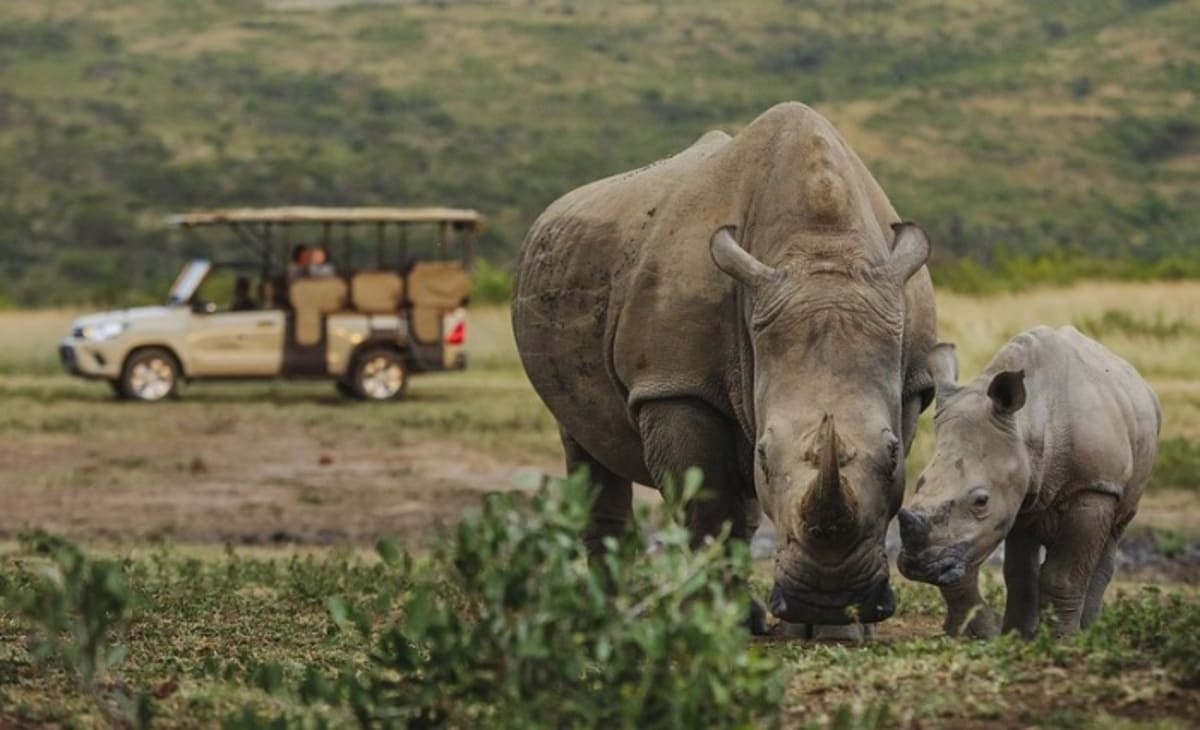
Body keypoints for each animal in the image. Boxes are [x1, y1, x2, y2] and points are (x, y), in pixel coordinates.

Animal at [513, 103, 938, 632]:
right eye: (764, 454)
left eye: (894, 453)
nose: (828, 597)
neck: (821, 252)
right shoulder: (675, 384)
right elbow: (706, 508)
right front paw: (707, 622)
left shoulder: (910, 381)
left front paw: (838, 628)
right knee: (582, 441)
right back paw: (607, 615)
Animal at [897, 326, 1160, 638]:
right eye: (920, 482)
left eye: (981, 501)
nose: (918, 566)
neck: (1030, 421)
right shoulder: (1021, 493)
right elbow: (1019, 572)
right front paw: (1017, 638)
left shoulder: (1094, 486)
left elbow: (1065, 575)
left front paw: (1062, 640)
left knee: (1113, 534)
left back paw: (1090, 630)